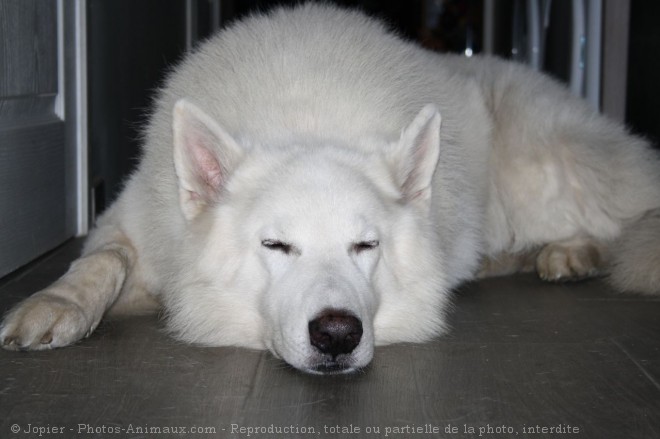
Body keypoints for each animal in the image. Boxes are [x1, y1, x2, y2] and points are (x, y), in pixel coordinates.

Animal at [1, 3, 660, 374]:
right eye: (275, 246)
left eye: (365, 247)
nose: (338, 334)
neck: (304, 118)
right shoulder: (136, 226)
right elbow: (105, 259)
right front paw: (54, 304)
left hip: (546, 172)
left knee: (624, 219)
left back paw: (574, 254)